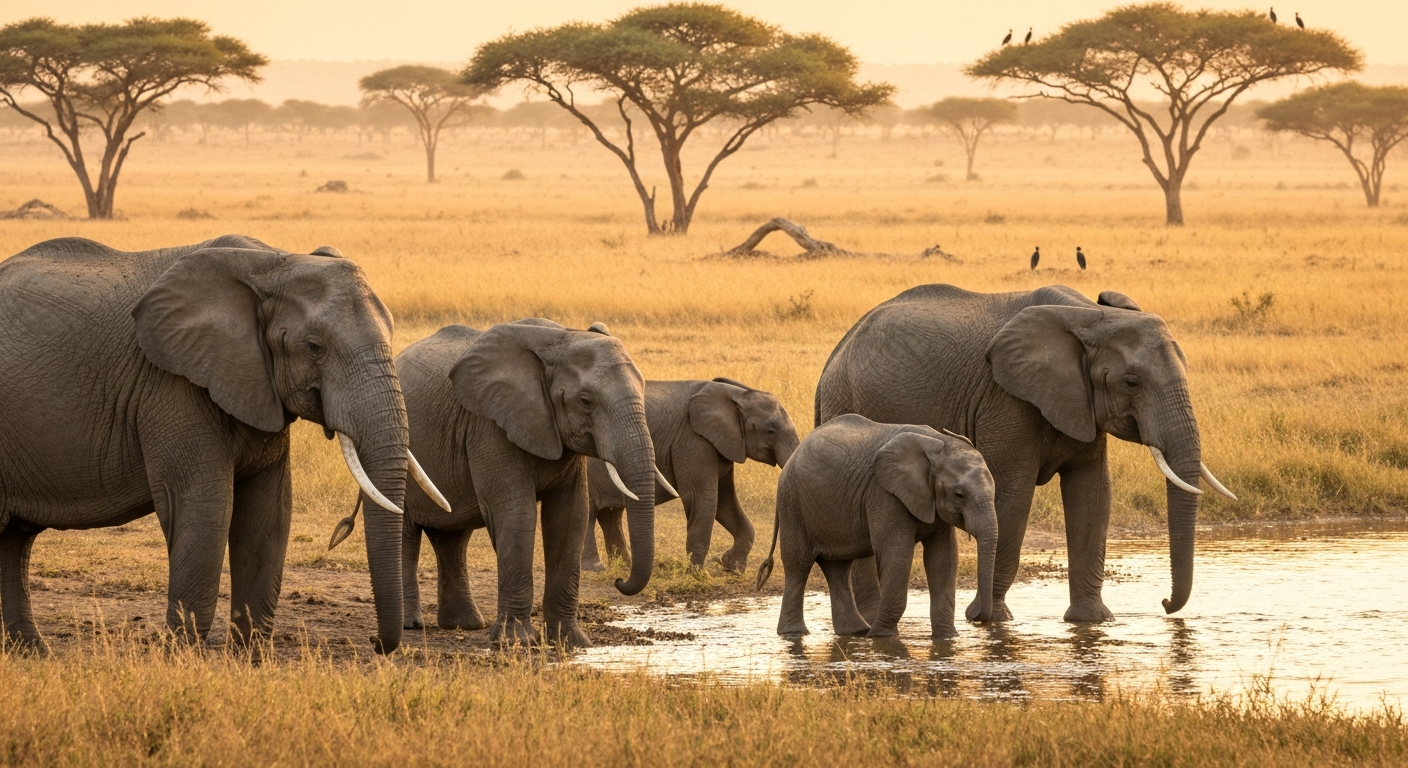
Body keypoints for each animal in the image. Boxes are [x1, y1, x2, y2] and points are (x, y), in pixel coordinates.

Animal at [0, 235, 443, 653]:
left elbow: (269, 512)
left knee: (15, 540)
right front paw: (182, 659)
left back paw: (32, 651)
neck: (273, 263)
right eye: (314, 347)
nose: (374, 643)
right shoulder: (171, 384)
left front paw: (249, 658)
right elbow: (205, 504)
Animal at [328, 319, 657, 647]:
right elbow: (516, 513)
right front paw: (516, 643)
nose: (619, 580)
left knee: (452, 539)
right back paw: (412, 624)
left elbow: (569, 516)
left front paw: (571, 642)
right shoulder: (488, 426)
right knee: (408, 535)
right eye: (586, 401)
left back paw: (463, 625)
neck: (559, 337)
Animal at [581, 374, 800, 573]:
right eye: (771, 431)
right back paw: (594, 568)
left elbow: (725, 502)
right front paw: (696, 573)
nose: (766, 566)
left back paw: (623, 566)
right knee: (589, 512)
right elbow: (703, 497)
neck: (736, 394)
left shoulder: (722, 444)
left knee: (611, 515)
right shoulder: (692, 438)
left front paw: (732, 568)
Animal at [756, 414, 998, 639]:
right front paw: (882, 637)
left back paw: (855, 631)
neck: (938, 442)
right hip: (792, 502)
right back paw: (794, 634)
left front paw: (947, 638)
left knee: (838, 569)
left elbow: (943, 559)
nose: (974, 616)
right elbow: (897, 555)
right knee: (798, 565)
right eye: (959, 495)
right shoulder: (884, 494)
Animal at [815, 284, 1236, 624]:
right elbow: (1013, 498)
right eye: (1131, 383)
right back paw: (871, 620)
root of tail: (833, 357)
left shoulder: (1081, 404)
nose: (1164, 604)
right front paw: (991, 620)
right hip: (847, 401)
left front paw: (1093, 622)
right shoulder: (1005, 400)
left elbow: (1092, 495)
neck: (1088, 317)